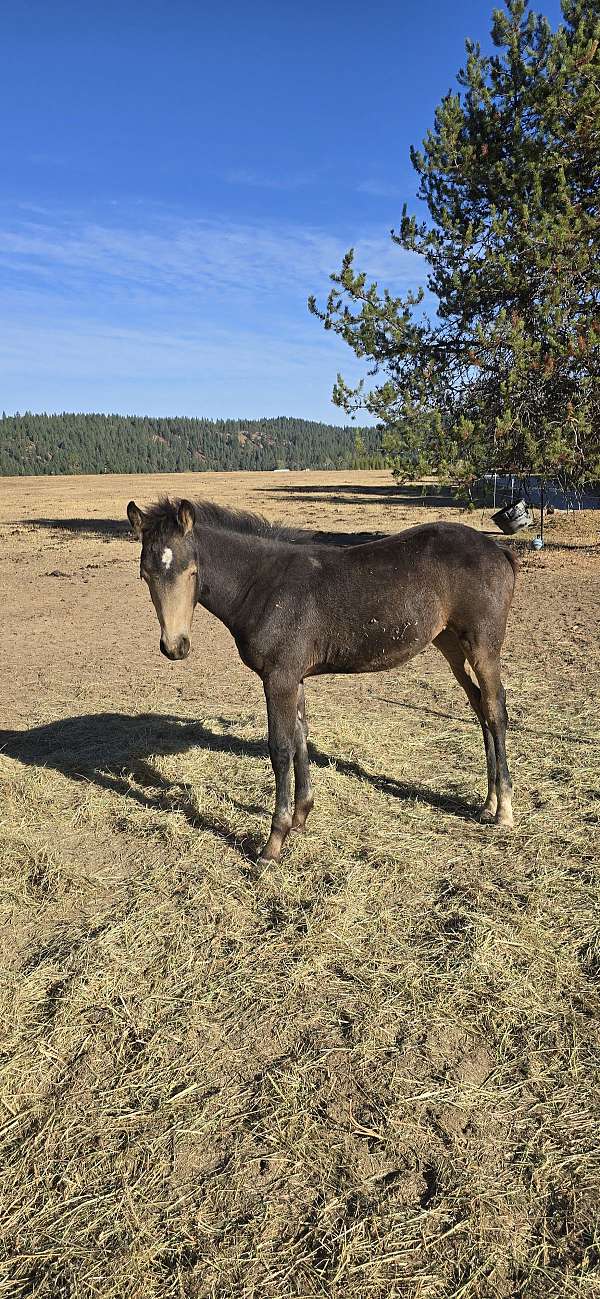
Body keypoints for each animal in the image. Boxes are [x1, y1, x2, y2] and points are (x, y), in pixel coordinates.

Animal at [125, 496, 516, 862]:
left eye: (192, 571)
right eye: (145, 575)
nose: (174, 646)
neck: (264, 585)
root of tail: (497, 549)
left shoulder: (279, 678)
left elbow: (280, 749)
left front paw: (273, 843)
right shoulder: (294, 677)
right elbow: (301, 737)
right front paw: (300, 818)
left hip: (482, 646)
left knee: (495, 710)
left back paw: (504, 811)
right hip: (450, 643)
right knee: (479, 708)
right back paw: (486, 804)